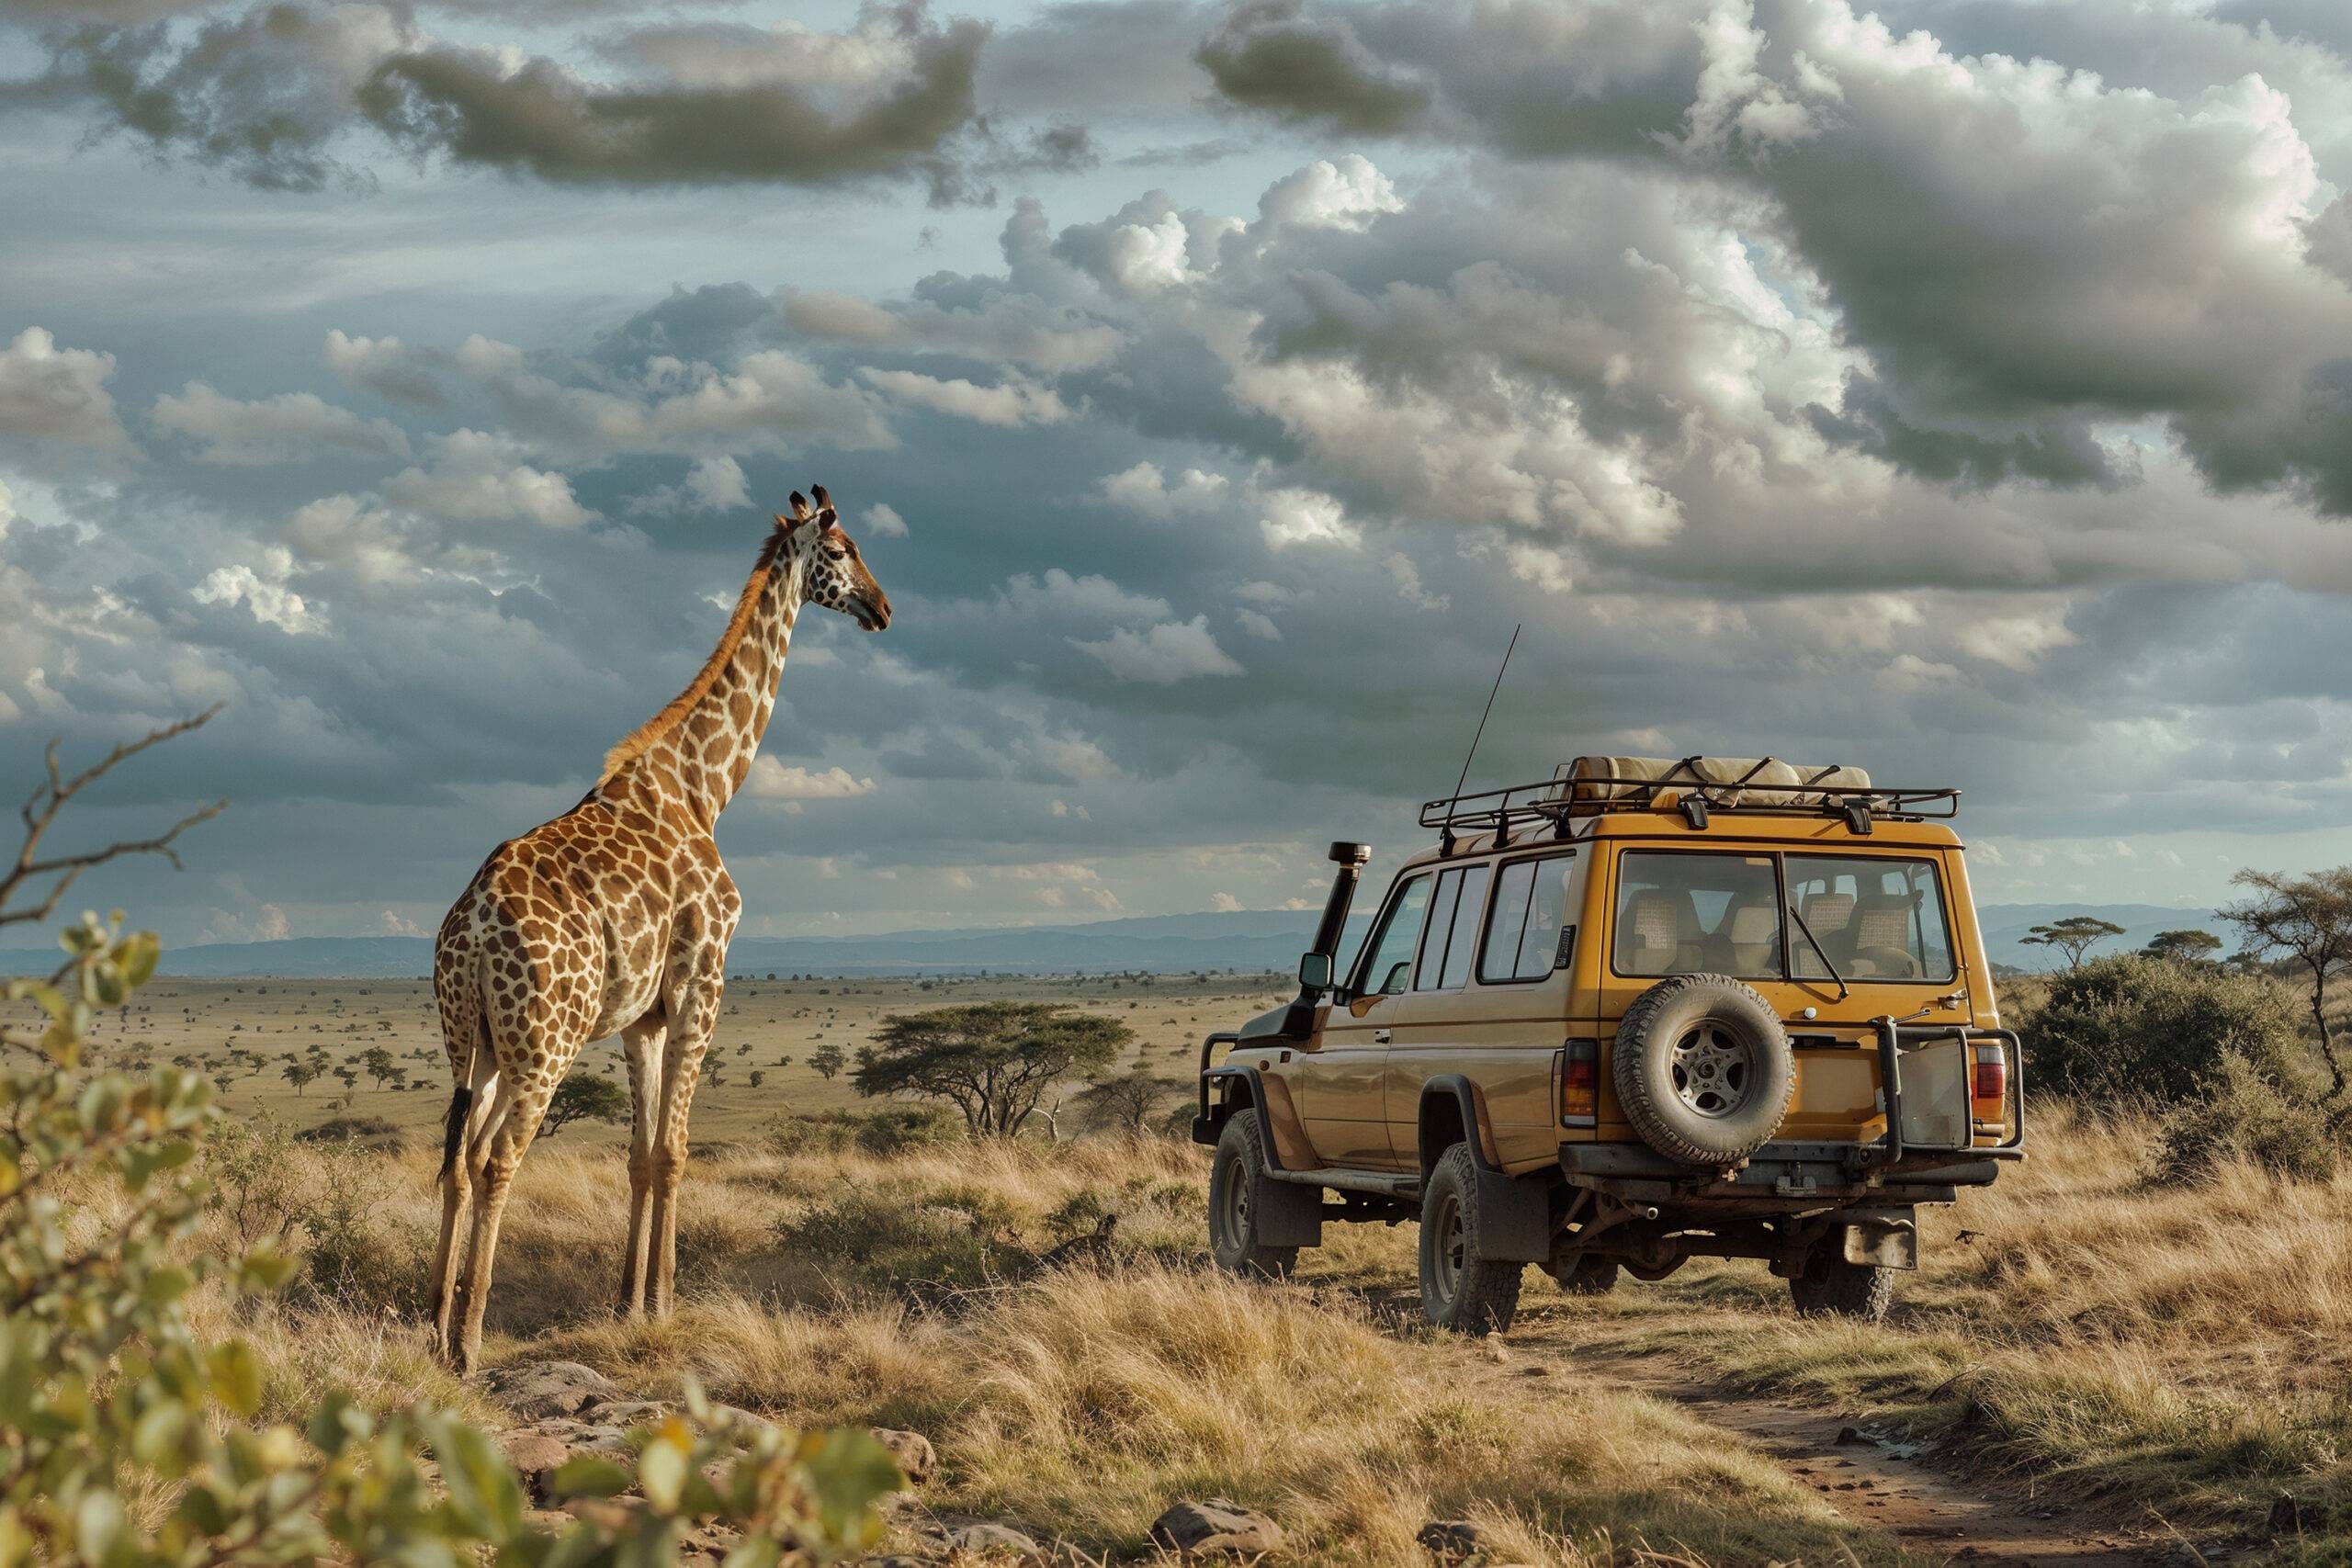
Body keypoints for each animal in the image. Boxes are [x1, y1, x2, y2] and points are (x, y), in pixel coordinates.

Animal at [426, 486, 892, 1374]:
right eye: (843, 548)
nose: (883, 608)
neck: (704, 785)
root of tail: (468, 933)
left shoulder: (640, 1016)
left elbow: (639, 1156)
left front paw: (626, 1303)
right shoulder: (703, 981)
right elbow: (675, 1150)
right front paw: (667, 1303)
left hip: (474, 1040)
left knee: (459, 1159)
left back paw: (430, 1321)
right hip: (545, 1043)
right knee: (498, 1159)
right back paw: (468, 1340)